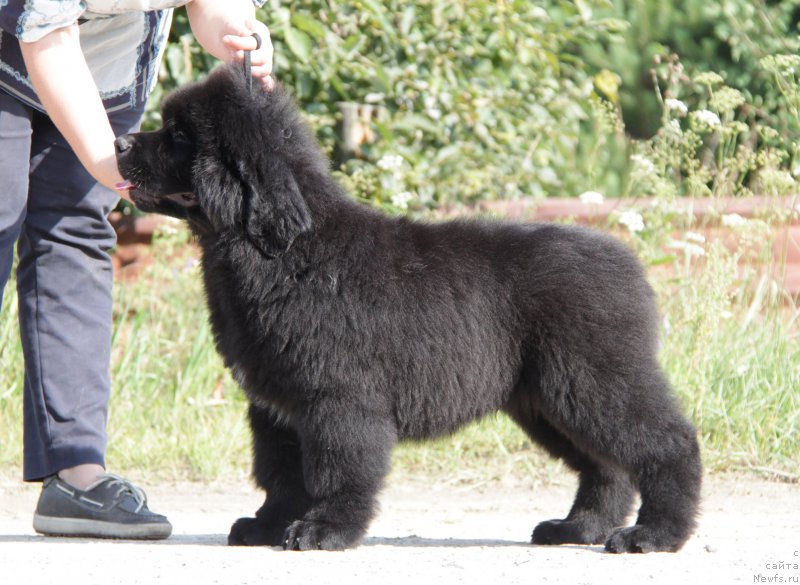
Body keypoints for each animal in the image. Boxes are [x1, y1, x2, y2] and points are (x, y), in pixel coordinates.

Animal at [115, 65, 704, 552]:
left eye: (180, 136)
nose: (118, 140)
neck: (285, 250)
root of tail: (628, 263)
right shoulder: (275, 405)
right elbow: (280, 472)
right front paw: (266, 526)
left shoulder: (338, 397)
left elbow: (337, 470)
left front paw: (324, 531)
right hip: (546, 399)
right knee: (606, 466)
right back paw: (578, 528)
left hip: (592, 379)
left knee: (667, 442)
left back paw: (655, 535)